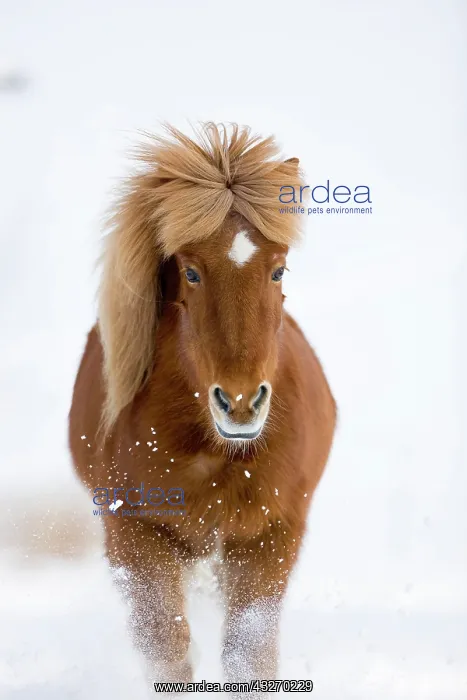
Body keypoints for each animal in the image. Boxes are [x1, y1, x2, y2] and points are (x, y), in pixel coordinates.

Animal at [69, 123, 336, 691]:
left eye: (279, 270)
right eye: (191, 273)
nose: (239, 403)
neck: (215, 455)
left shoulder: (271, 535)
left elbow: (249, 656)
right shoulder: (135, 534)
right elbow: (166, 649)